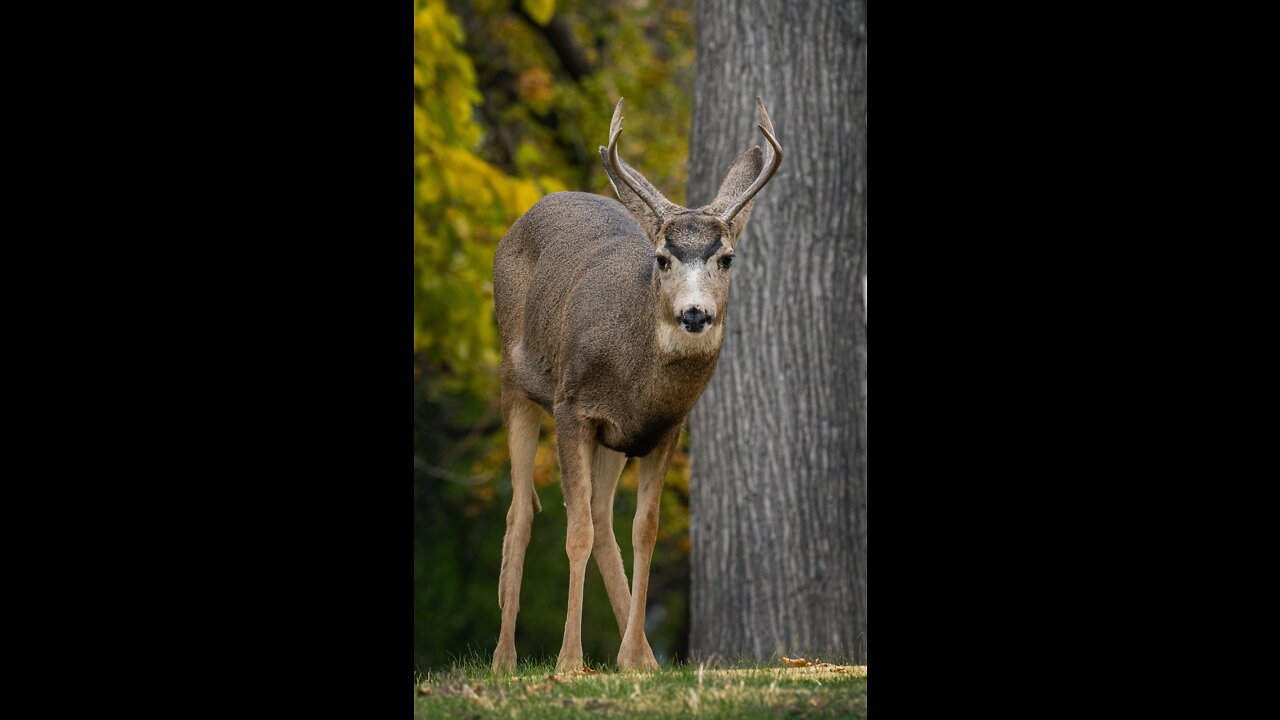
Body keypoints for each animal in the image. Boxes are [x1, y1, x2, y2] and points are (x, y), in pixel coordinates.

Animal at [486, 98, 778, 671]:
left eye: (726, 258)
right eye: (662, 258)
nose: (695, 313)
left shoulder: (664, 429)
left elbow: (643, 530)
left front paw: (631, 658)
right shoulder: (573, 407)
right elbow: (575, 529)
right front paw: (569, 662)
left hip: (613, 441)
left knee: (601, 519)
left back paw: (641, 656)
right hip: (515, 381)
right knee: (522, 510)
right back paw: (504, 659)